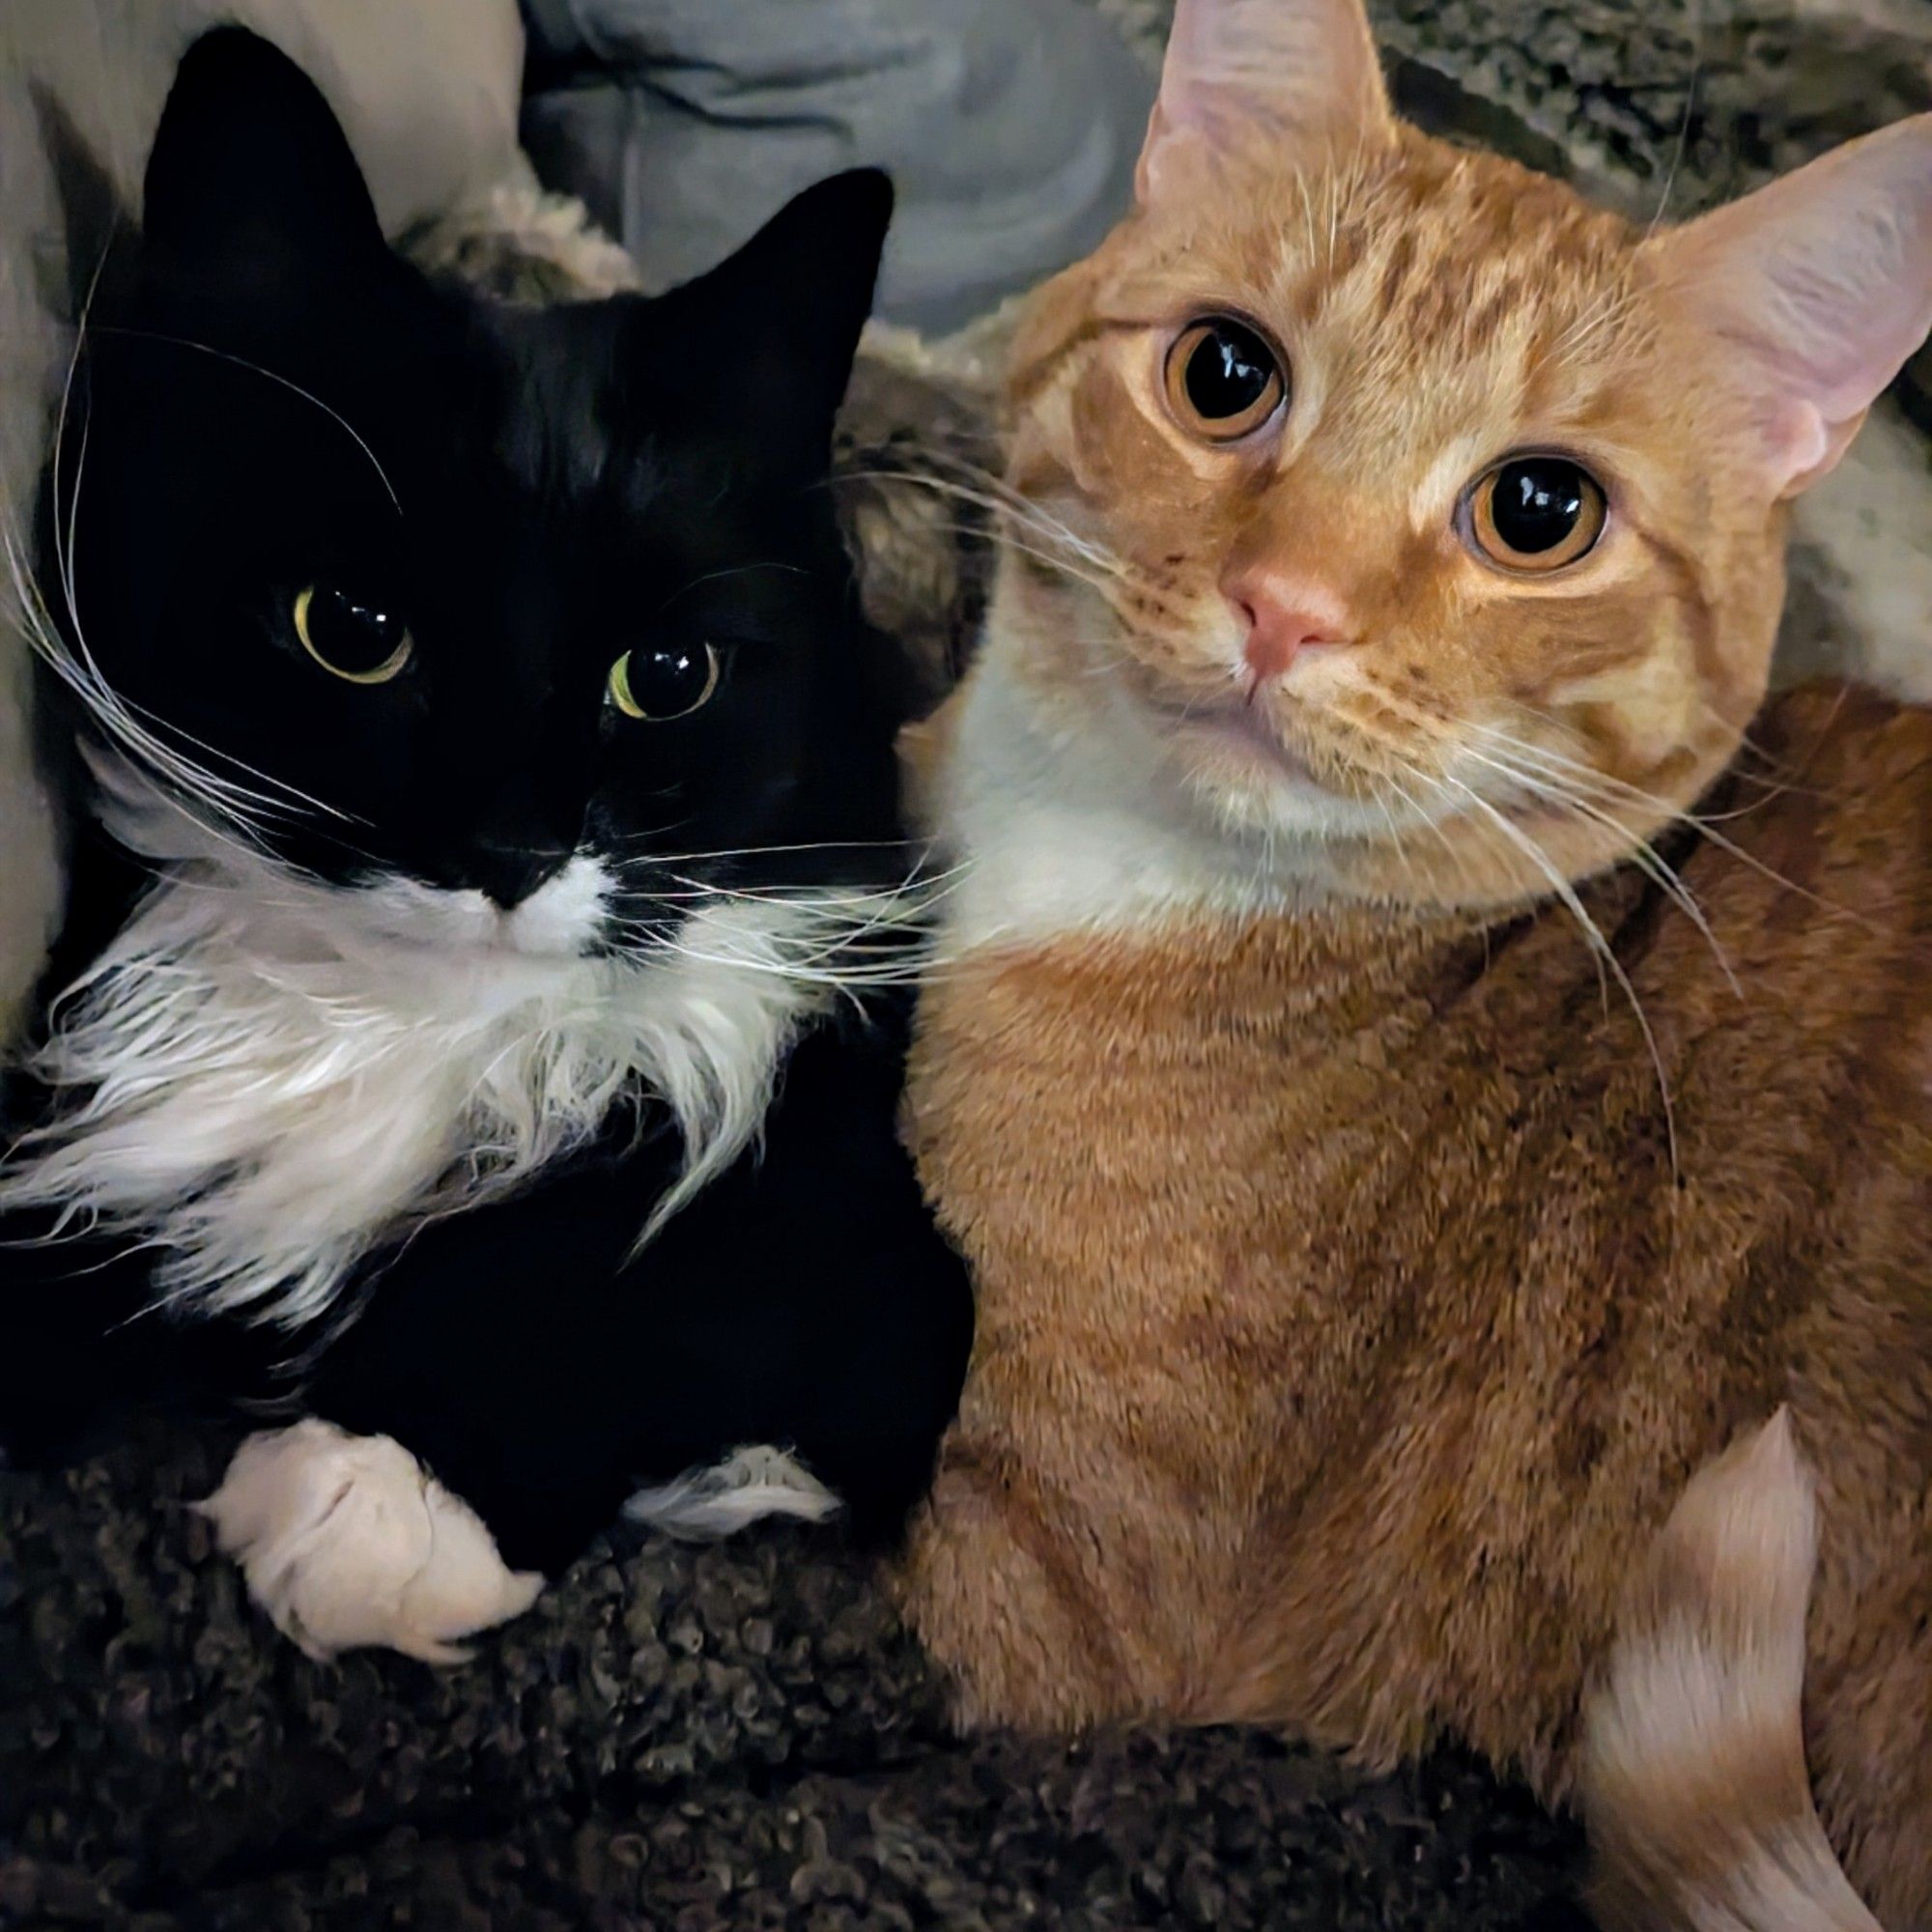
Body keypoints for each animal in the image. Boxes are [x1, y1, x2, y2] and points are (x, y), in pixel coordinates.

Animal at [0, 26, 966, 1662]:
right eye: (351, 630)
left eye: (666, 676)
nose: (512, 850)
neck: (401, 1030)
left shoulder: (878, 1230)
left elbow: (610, 1273)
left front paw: (375, 1501)